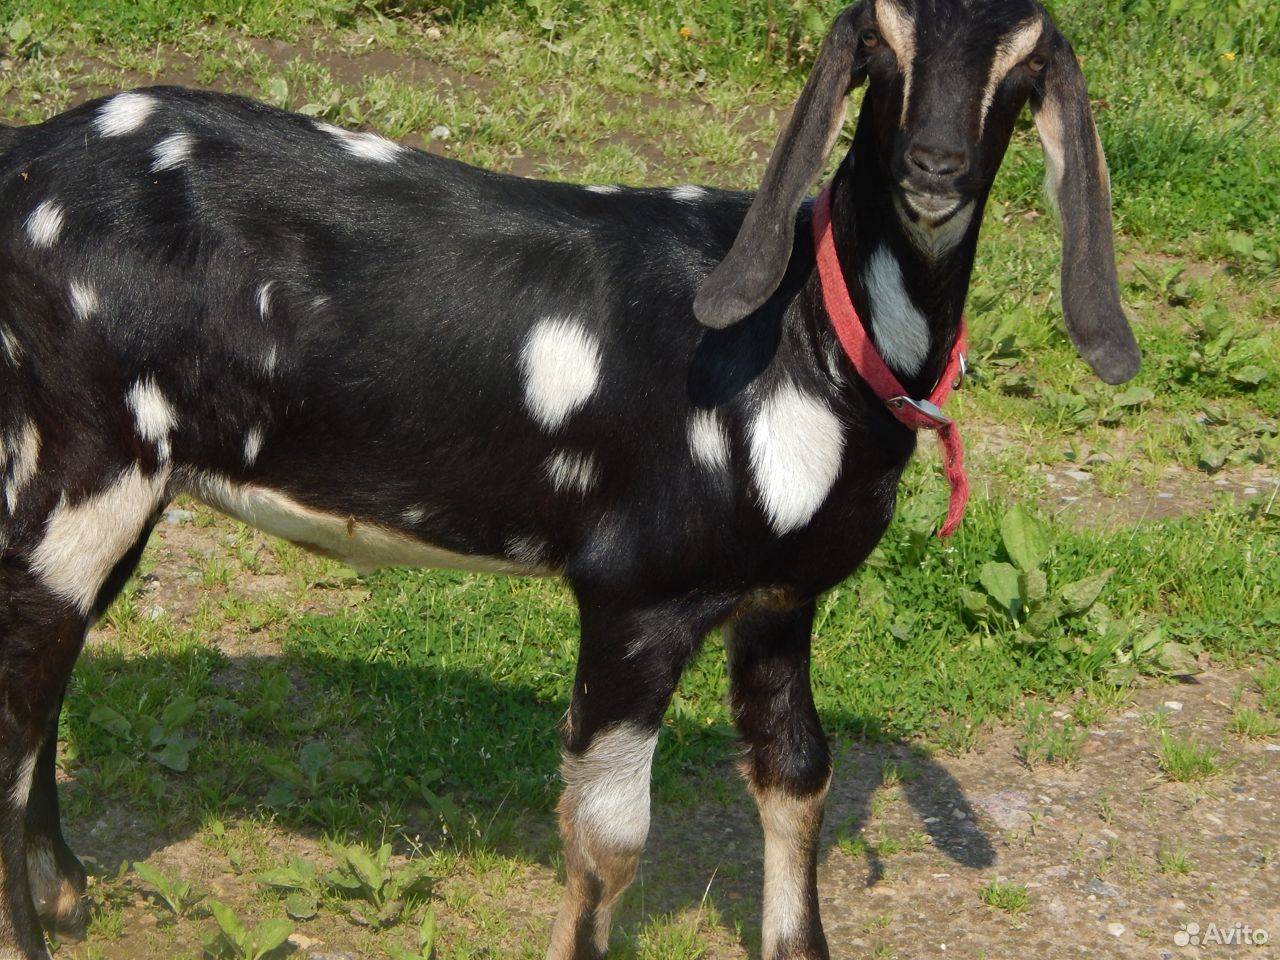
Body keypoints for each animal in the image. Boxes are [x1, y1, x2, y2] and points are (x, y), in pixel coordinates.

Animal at [0, 0, 1141, 957]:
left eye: (1024, 63)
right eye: (879, 45)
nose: (934, 168)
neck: (807, 330)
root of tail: (23, 163)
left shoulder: (779, 602)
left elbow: (797, 773)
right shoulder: (637, 595)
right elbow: (610, 834)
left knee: (46, 675)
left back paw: (67, 895)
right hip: (84, 458)